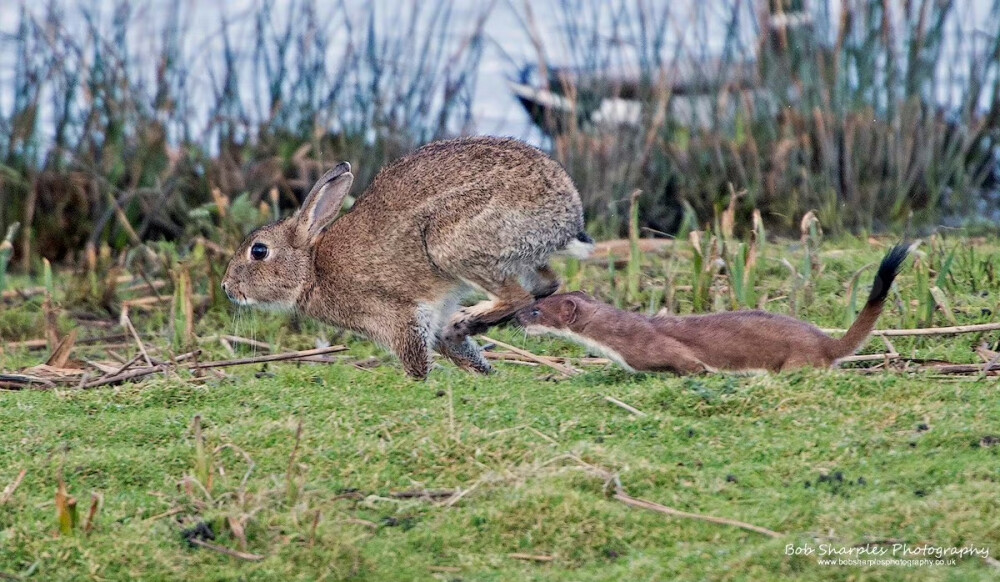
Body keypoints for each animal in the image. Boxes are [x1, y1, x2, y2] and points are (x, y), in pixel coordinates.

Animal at [221, 139, 592, 380]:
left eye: (259, 251)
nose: (227, 288)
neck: (312, 270)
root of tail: (568, 213)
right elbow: (458, 352)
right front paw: (485, 373)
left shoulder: (396, 317)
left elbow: (416, 363)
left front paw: (425, 380)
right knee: (546, 283)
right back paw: (469, 324)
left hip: (450, 243)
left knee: (519, 296)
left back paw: (467, 319)